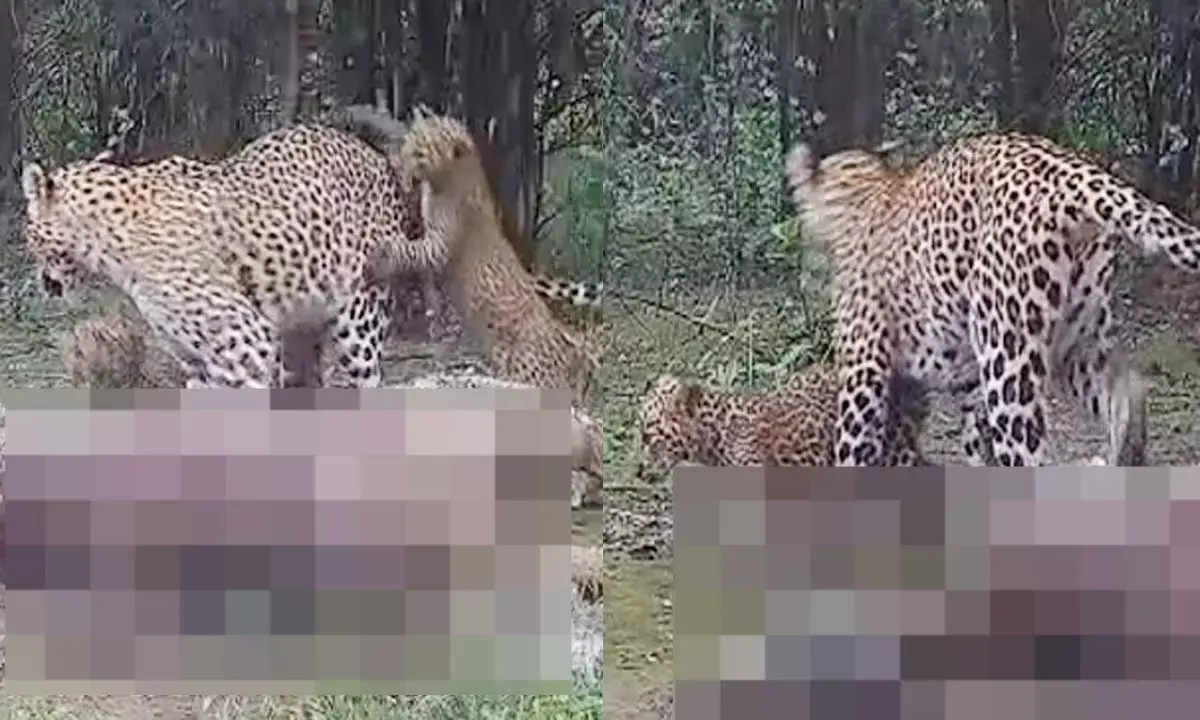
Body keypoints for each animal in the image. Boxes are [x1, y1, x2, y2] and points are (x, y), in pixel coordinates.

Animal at [21, 118, 425, 388]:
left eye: (29, 235)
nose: (41, 281)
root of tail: (371, 152)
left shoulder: (243, 345)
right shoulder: (196, 361)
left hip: (360, 321)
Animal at [783, 132, 1182, 466]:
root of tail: (1070, 172)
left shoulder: (863, 368)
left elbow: (854, 446)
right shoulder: (958, 376)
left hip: (1008, 353)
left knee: (1028, 452)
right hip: (1078, 339)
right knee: (1128, 392)